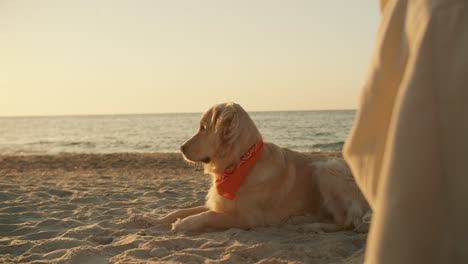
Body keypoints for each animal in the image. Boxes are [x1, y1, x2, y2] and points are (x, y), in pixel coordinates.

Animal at [154, 102, 370, 232]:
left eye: (203, 128)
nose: (181, 148)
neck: (240, 162)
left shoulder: (246, 218)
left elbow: (208, 215)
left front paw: (184, 224)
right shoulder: (220, 203)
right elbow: (184, 210)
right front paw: (160, 219)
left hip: (327, 168)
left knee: (346, 222)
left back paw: (311, 225)